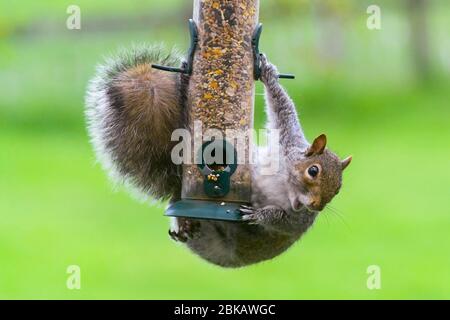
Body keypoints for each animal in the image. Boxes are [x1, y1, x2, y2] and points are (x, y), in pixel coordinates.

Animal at [84, 44, 352, 268]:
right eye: (313, 170)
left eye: (338, 189)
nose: (317, 206)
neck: (286, 181)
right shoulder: (286, 140)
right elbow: (282, 107)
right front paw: (268, 74)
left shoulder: (299, 218)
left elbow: (283, 222)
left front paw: (258, 215)